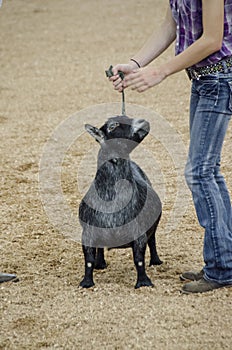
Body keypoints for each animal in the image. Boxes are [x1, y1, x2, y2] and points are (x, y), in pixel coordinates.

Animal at [79, 116, 162, 288]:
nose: (143, 121)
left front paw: (144, 282)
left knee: (153, 240)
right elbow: (88, 259)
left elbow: (139, 259)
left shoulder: (139, 233)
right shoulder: (87, 233)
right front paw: (86, 282)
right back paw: (100, 264)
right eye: (113, 125)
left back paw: (156, 261)